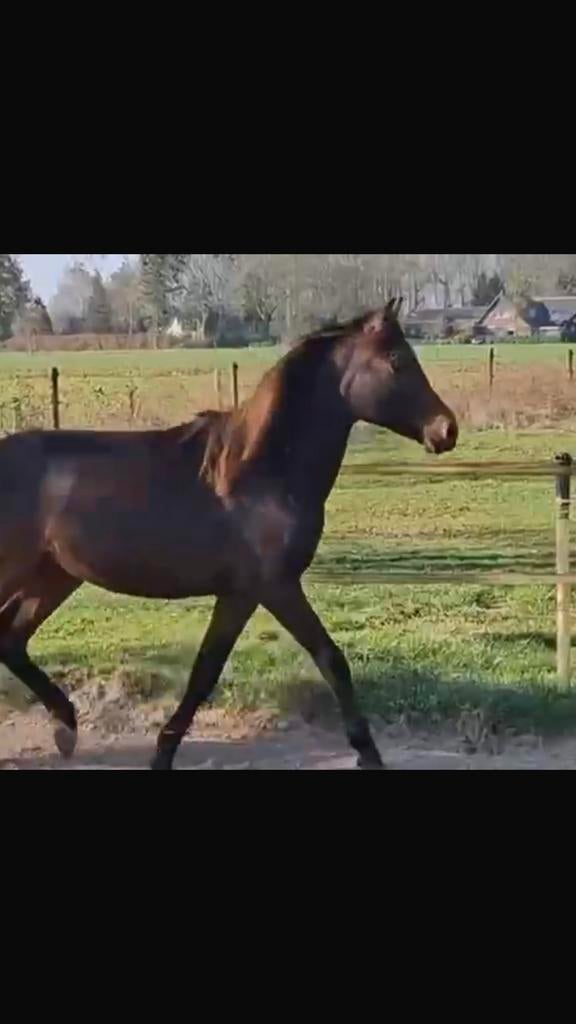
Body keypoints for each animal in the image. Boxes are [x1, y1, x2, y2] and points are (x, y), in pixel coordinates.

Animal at [0, 300, 458, 770]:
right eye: (396, 360)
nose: (446, 429)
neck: (261, 472)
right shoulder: (271, 587)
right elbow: (324, 659)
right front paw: (368, 753)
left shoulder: (240, 593)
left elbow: (207, 669)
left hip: (54, 576)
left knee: (10, 638)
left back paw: (66, 728)